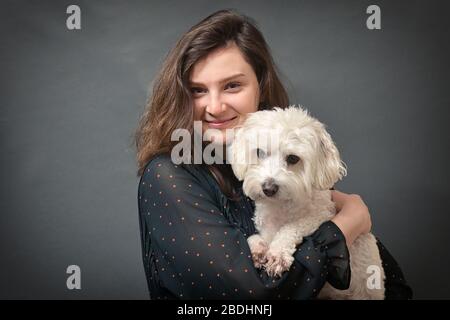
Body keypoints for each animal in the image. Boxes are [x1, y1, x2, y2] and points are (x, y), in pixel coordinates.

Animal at [230, 105, 384, 300]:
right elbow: (255, 237)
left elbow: (290, 228)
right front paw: (258, 249)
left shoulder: (321, 215)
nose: (268, 188)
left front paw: (278, 254)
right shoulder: (267, 229)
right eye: (259, 152)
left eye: (293, 158)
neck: (281, 206)